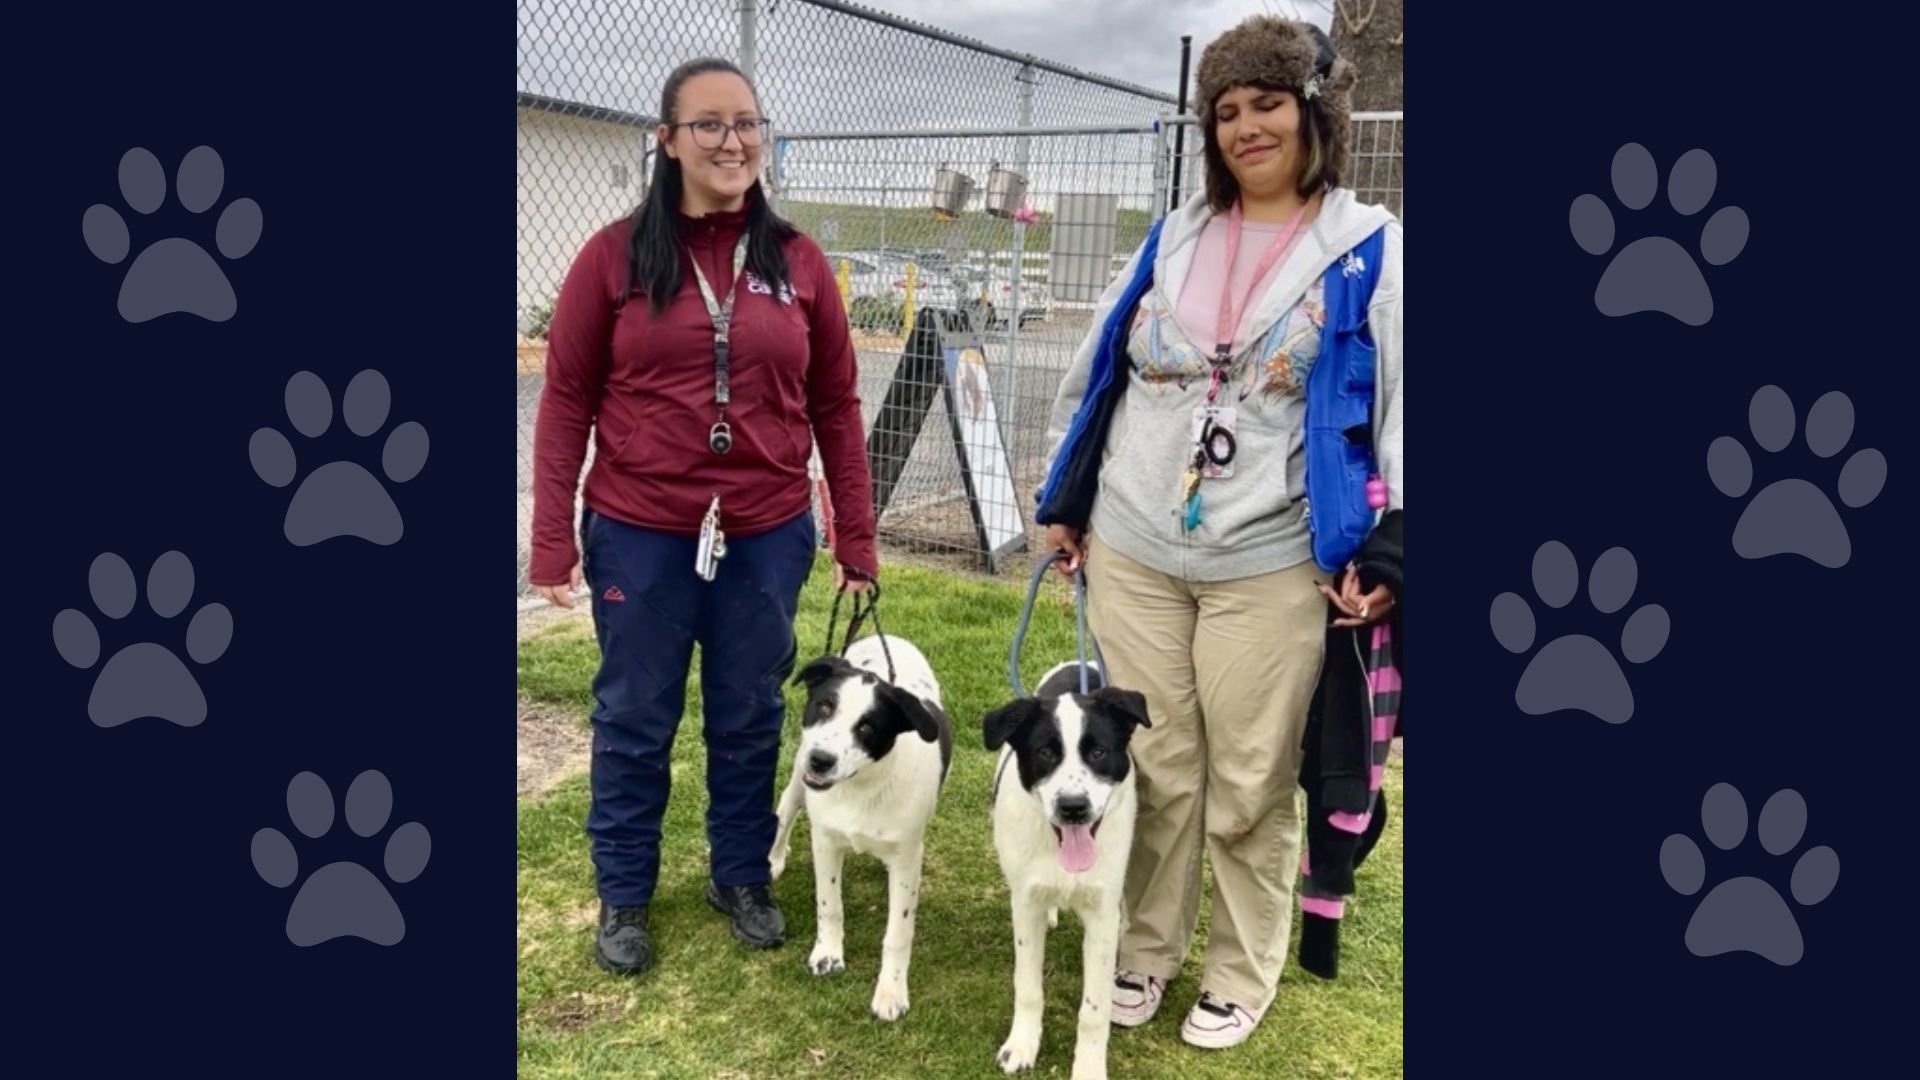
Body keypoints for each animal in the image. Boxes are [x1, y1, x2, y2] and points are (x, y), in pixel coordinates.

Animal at [764, 630, 944, 1014]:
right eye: (824, 707)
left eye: (867, 727)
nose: (821, 761)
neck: (862, 786)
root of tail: (885, 634)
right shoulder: (825, 841)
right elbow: (829, 905)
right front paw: (828, 954)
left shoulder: (907, 860)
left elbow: (898, 933)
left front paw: (891, 991)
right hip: (798, 776)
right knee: (785, 809)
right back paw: (773, 858)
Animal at [983, 657, 1144, 1076]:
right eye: (1046, 754)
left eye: (1099, 753)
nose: (1073, 807)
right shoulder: (1024, 906)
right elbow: (1027, 987)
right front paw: (1021, 1045)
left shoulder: (1101, 916)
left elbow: (1094, 1010)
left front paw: (1088, 1068)